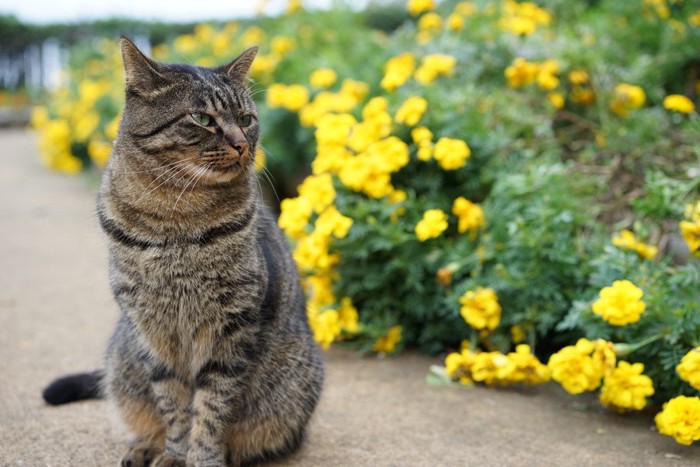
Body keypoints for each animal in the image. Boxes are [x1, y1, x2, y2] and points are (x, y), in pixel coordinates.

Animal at [44, 37, 326, 467]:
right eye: (202, 119)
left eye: (246, 119)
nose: (241, 145)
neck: (174, 217)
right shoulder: (152, 331)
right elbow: (174, 405)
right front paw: (175, 453)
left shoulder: (232, 327)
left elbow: (211, 408)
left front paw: (203, 457)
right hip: (123, 362)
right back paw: (144, 447)